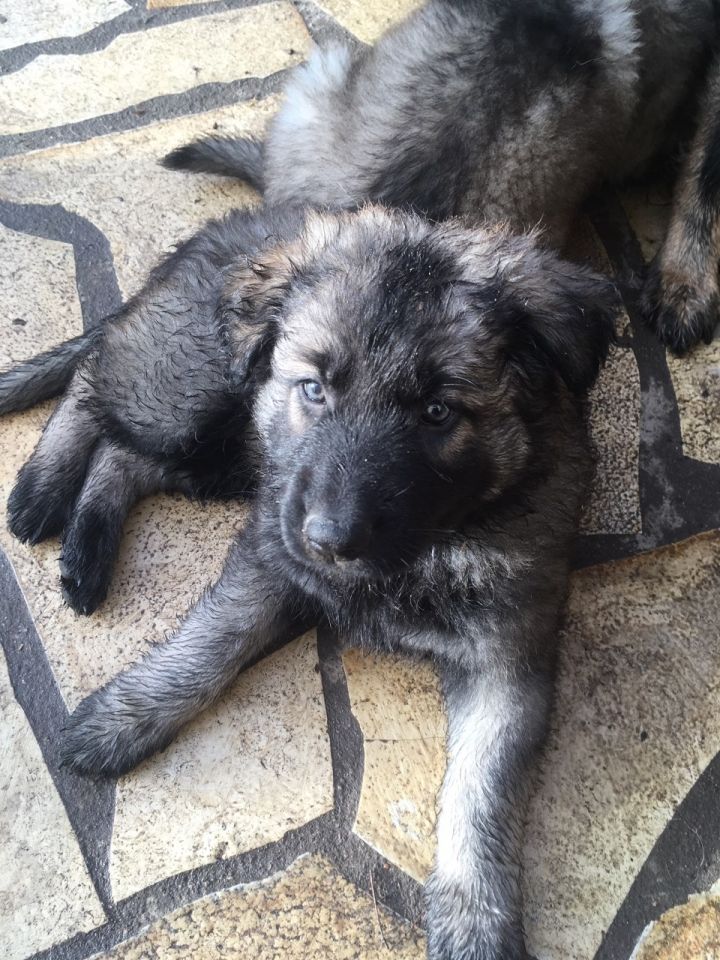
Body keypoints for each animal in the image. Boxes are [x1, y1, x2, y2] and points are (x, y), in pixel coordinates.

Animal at [1, 2, 718, 958]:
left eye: (438, 412)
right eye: (316, 388)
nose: (330, 540)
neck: (428, 542)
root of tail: (252, 218)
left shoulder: (508, 657)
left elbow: (481, 793)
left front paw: (474, 915)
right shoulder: (273, 548)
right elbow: (211, 642)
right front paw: (127, 715)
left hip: (227, 455)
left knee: (124, 450)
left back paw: (82, 545)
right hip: (196, 393)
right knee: (93, 384)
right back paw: (42, 494)